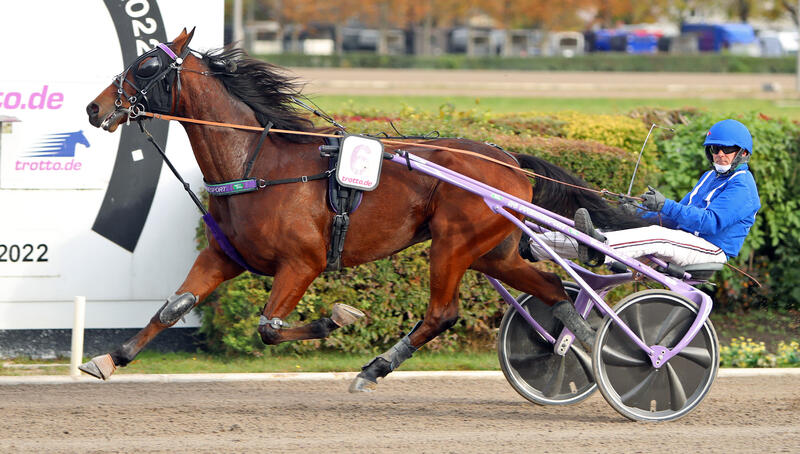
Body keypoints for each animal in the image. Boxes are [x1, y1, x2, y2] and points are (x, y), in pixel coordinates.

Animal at [83, 28, 644, 390]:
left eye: (147, 66)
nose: (94, 107)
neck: (258, 163)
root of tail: (508, 158)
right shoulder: (226, 255)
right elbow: (173, 306)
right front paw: (110, 357)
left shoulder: (302, 263)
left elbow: (269, 326)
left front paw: (337, 318)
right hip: (493, 252)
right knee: (552, 288)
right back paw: (590, 346)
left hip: (453, 243)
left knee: (442, 312)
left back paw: (375, 368)